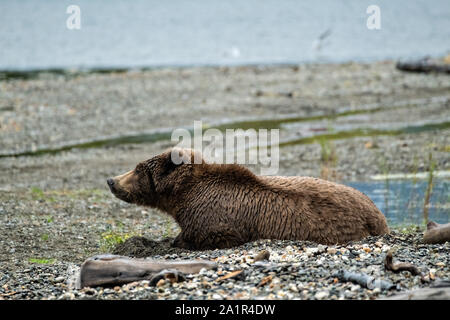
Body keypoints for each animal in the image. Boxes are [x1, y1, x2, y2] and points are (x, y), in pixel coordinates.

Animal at [107, 148, 388, 250]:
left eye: (137, 169)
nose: (111, 181)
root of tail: (379, 215)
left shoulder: (214, 217)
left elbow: (208, 235)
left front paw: (178, 241)